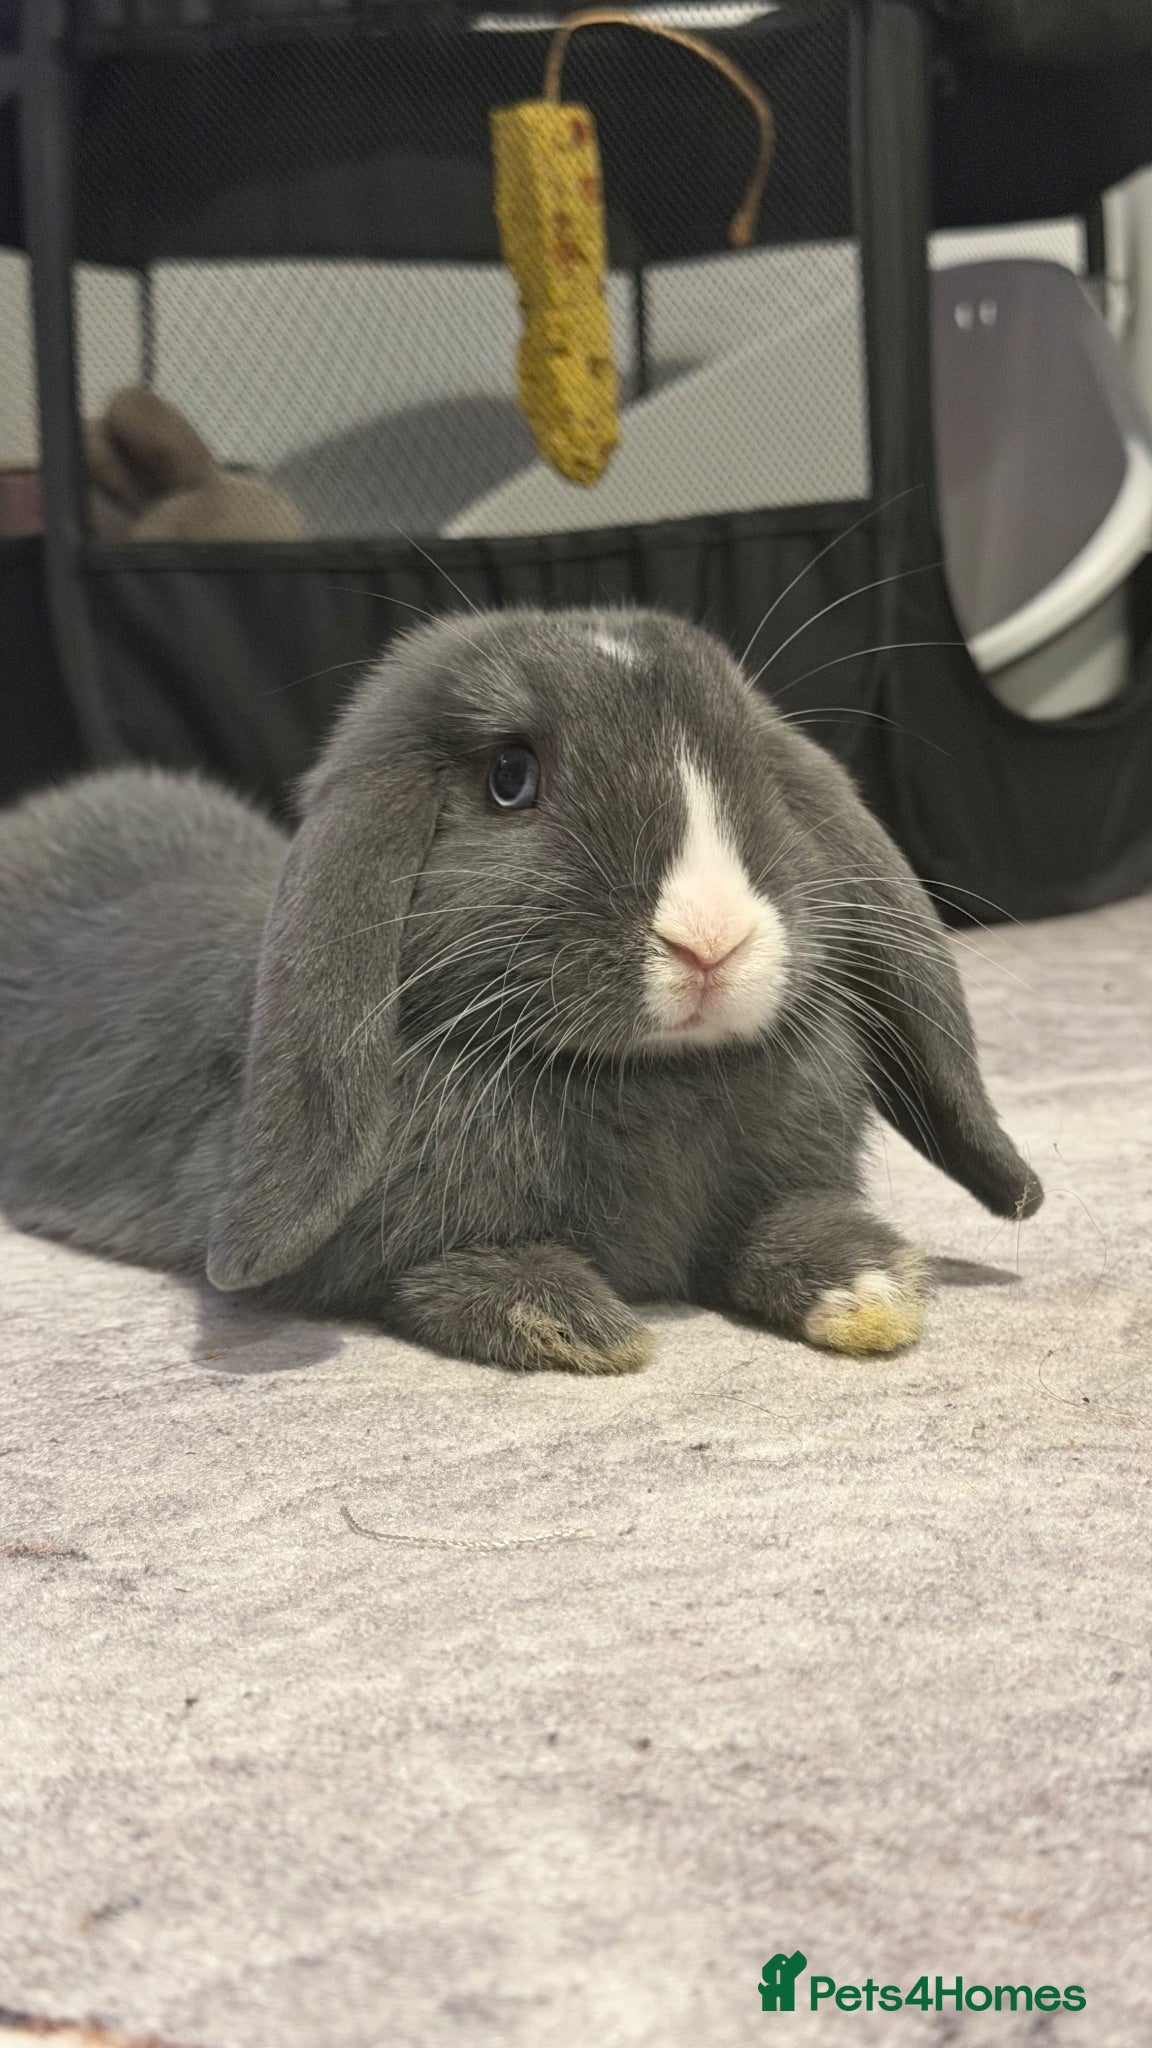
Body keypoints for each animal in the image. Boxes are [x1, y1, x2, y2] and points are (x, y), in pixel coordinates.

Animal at [0, 607, 1041, 1374]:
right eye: (511, 777)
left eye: (752, 766)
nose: (710, 938)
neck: (648, 1077)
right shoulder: (398, 1251)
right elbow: (444, 1274)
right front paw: (582, 1326)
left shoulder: (771, 1194)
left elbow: (789, 1226)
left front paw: (868, 1292)